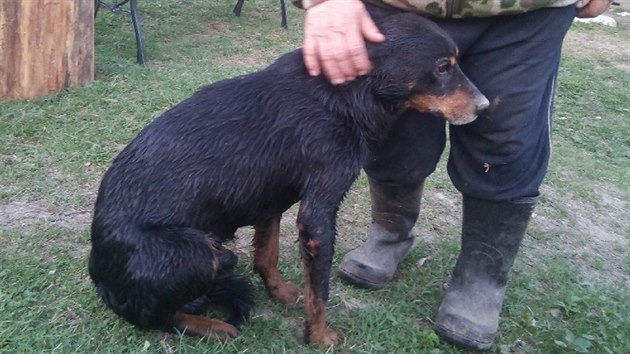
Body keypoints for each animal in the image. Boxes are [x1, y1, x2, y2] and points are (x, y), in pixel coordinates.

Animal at [87, 6, 488, 346]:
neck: (345, 90)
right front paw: (319, 337)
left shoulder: (270, 200)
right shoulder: (318, 216)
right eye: (442, 67)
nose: (485, 106)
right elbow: (320, 291)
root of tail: (101, 277)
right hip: (203, 254)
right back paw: (211, 326)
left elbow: (267, 255)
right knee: (152, 315)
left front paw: (278, 293)